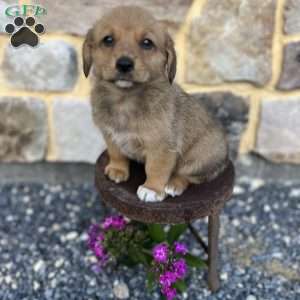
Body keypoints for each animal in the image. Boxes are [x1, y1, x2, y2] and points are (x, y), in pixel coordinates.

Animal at [82, 5, 227, 202]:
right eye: (108, 40)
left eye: (147, 43)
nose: (124, 64)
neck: (125, 99)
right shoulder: (110, 134)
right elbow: (116, 153)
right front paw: (117, 170)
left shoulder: (162, 147)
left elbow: (156, 169)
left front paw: (152, 189)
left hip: (199, 157)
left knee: (188, 176)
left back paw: (173, 185)